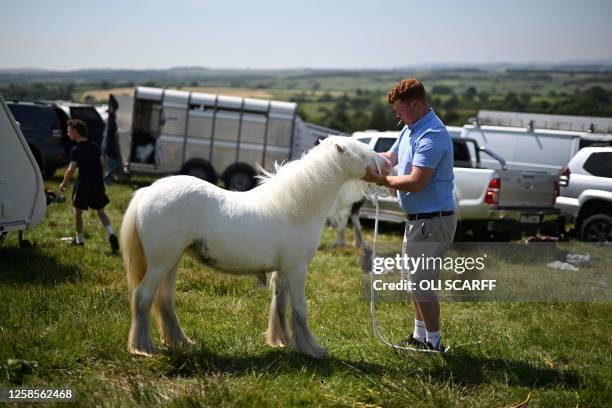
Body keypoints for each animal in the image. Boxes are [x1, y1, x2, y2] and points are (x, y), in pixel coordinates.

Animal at [120, 136, 388, 356]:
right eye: (361, 152)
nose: (386, 164)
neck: (296, 207)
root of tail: (146, 192)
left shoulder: (282, 272)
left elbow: (279, 306)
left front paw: (282, 342)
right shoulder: (297, 270)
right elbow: (300, 309)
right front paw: (312, 349)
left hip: (172, 262)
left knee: (164, 300)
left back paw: (181, 342)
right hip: (160, 263)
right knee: (143, 296)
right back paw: (143, 348)